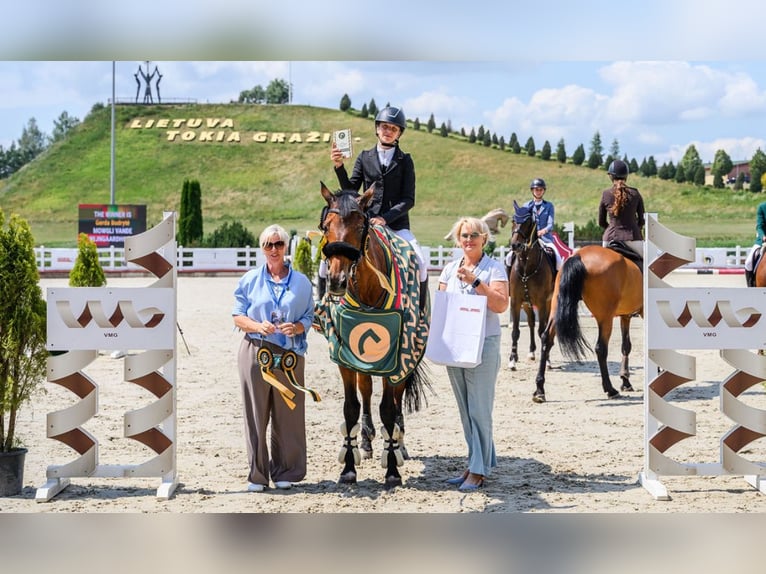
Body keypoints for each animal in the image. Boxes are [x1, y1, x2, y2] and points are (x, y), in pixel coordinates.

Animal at [314, 182, 432, 488]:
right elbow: (351, 407)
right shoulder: (345, 357)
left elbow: (389, 409)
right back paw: (365, 440)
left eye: (360, 226)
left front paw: (392, 469)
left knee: (397, 400)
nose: (337, 281)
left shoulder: (397, 357)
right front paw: (348, 467)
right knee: (366, 389)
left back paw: (398, 444)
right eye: (326, 226)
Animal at [510, 200, 560, 372]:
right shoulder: (516, 302)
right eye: (513, 220)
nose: (515, 245)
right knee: (531, 322)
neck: (526, 266)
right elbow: (515, 331)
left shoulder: (542, 302)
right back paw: (531, 352)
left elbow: (542, 331)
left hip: (548, 302)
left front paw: (548, 361)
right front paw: (512, 360)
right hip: (527, 304)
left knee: (543, 327)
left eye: (527, 222)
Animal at [536, 246, 648, 404]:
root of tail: (578, 256)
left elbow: (626, 346)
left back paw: (539, 390)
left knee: (546, 339)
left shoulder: (625, 316)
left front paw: (625, 381)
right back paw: (610, 390)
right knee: (601, 349)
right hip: (605, 317)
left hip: (556, 307)